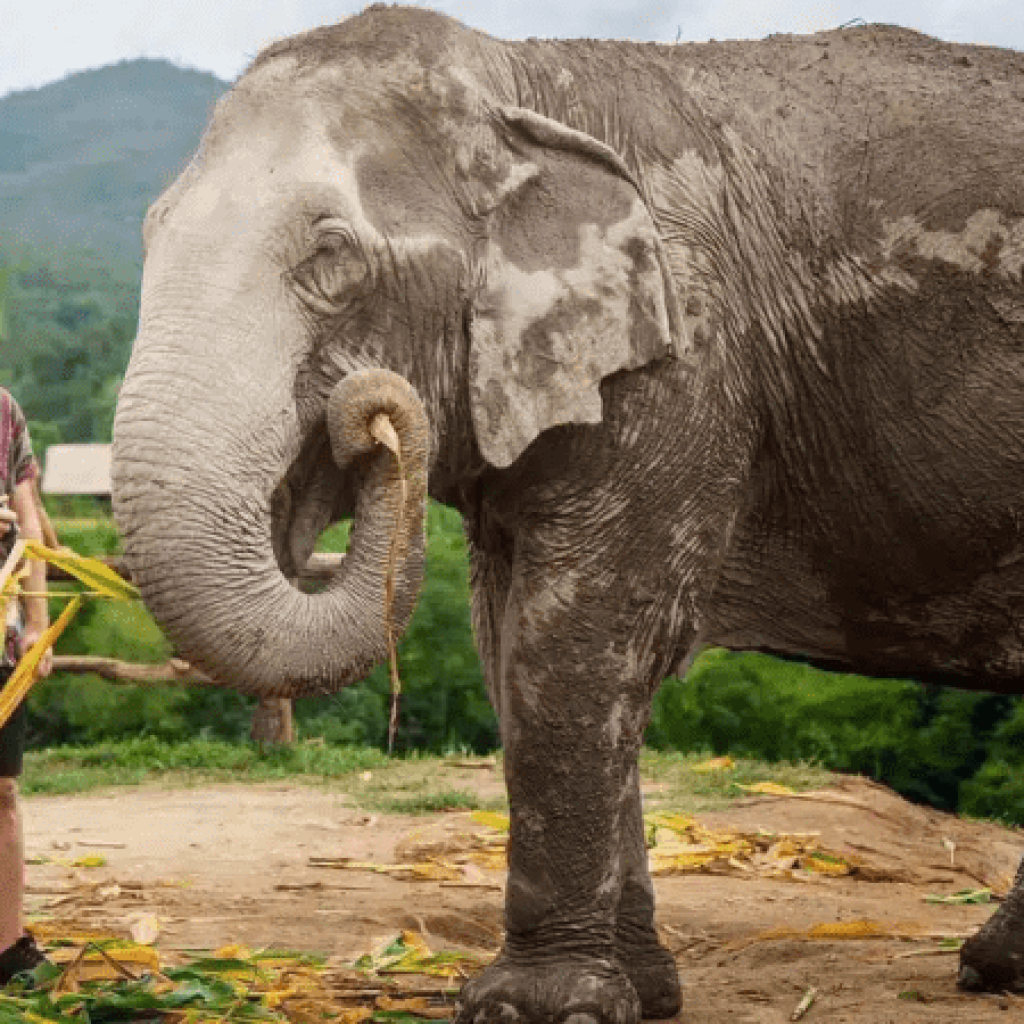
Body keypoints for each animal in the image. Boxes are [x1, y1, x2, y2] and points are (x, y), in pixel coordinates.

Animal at [111, 5, 1024, 1020]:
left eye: (332, 255)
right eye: (148, 232)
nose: (370, 417)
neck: (524, 79)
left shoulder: (682, 358)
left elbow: (578, 638)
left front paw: (536, 1007)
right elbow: (507, 641)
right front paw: (643, 996)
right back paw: (993, 969)